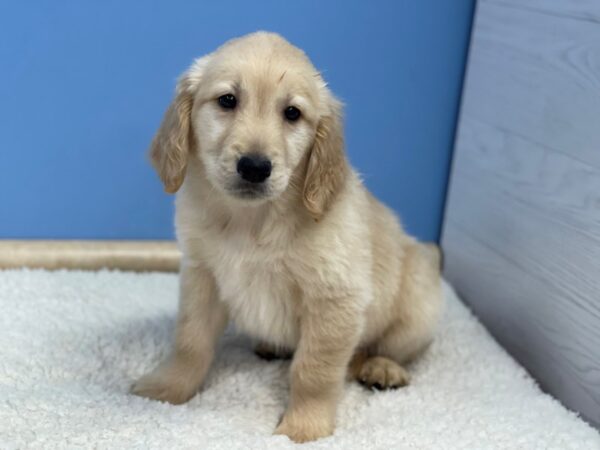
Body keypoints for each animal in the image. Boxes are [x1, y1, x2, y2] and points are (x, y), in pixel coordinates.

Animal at [135, 32, 446, 442]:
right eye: (227, 100)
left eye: (293, 113)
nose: (254, 167)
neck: (253, 221)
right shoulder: (202, 276)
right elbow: (190, 341)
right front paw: (167, 388)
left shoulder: (335, 296)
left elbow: (314, 370)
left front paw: (303, 428)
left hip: (418, 303)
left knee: (387, 348)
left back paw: (381, 367)